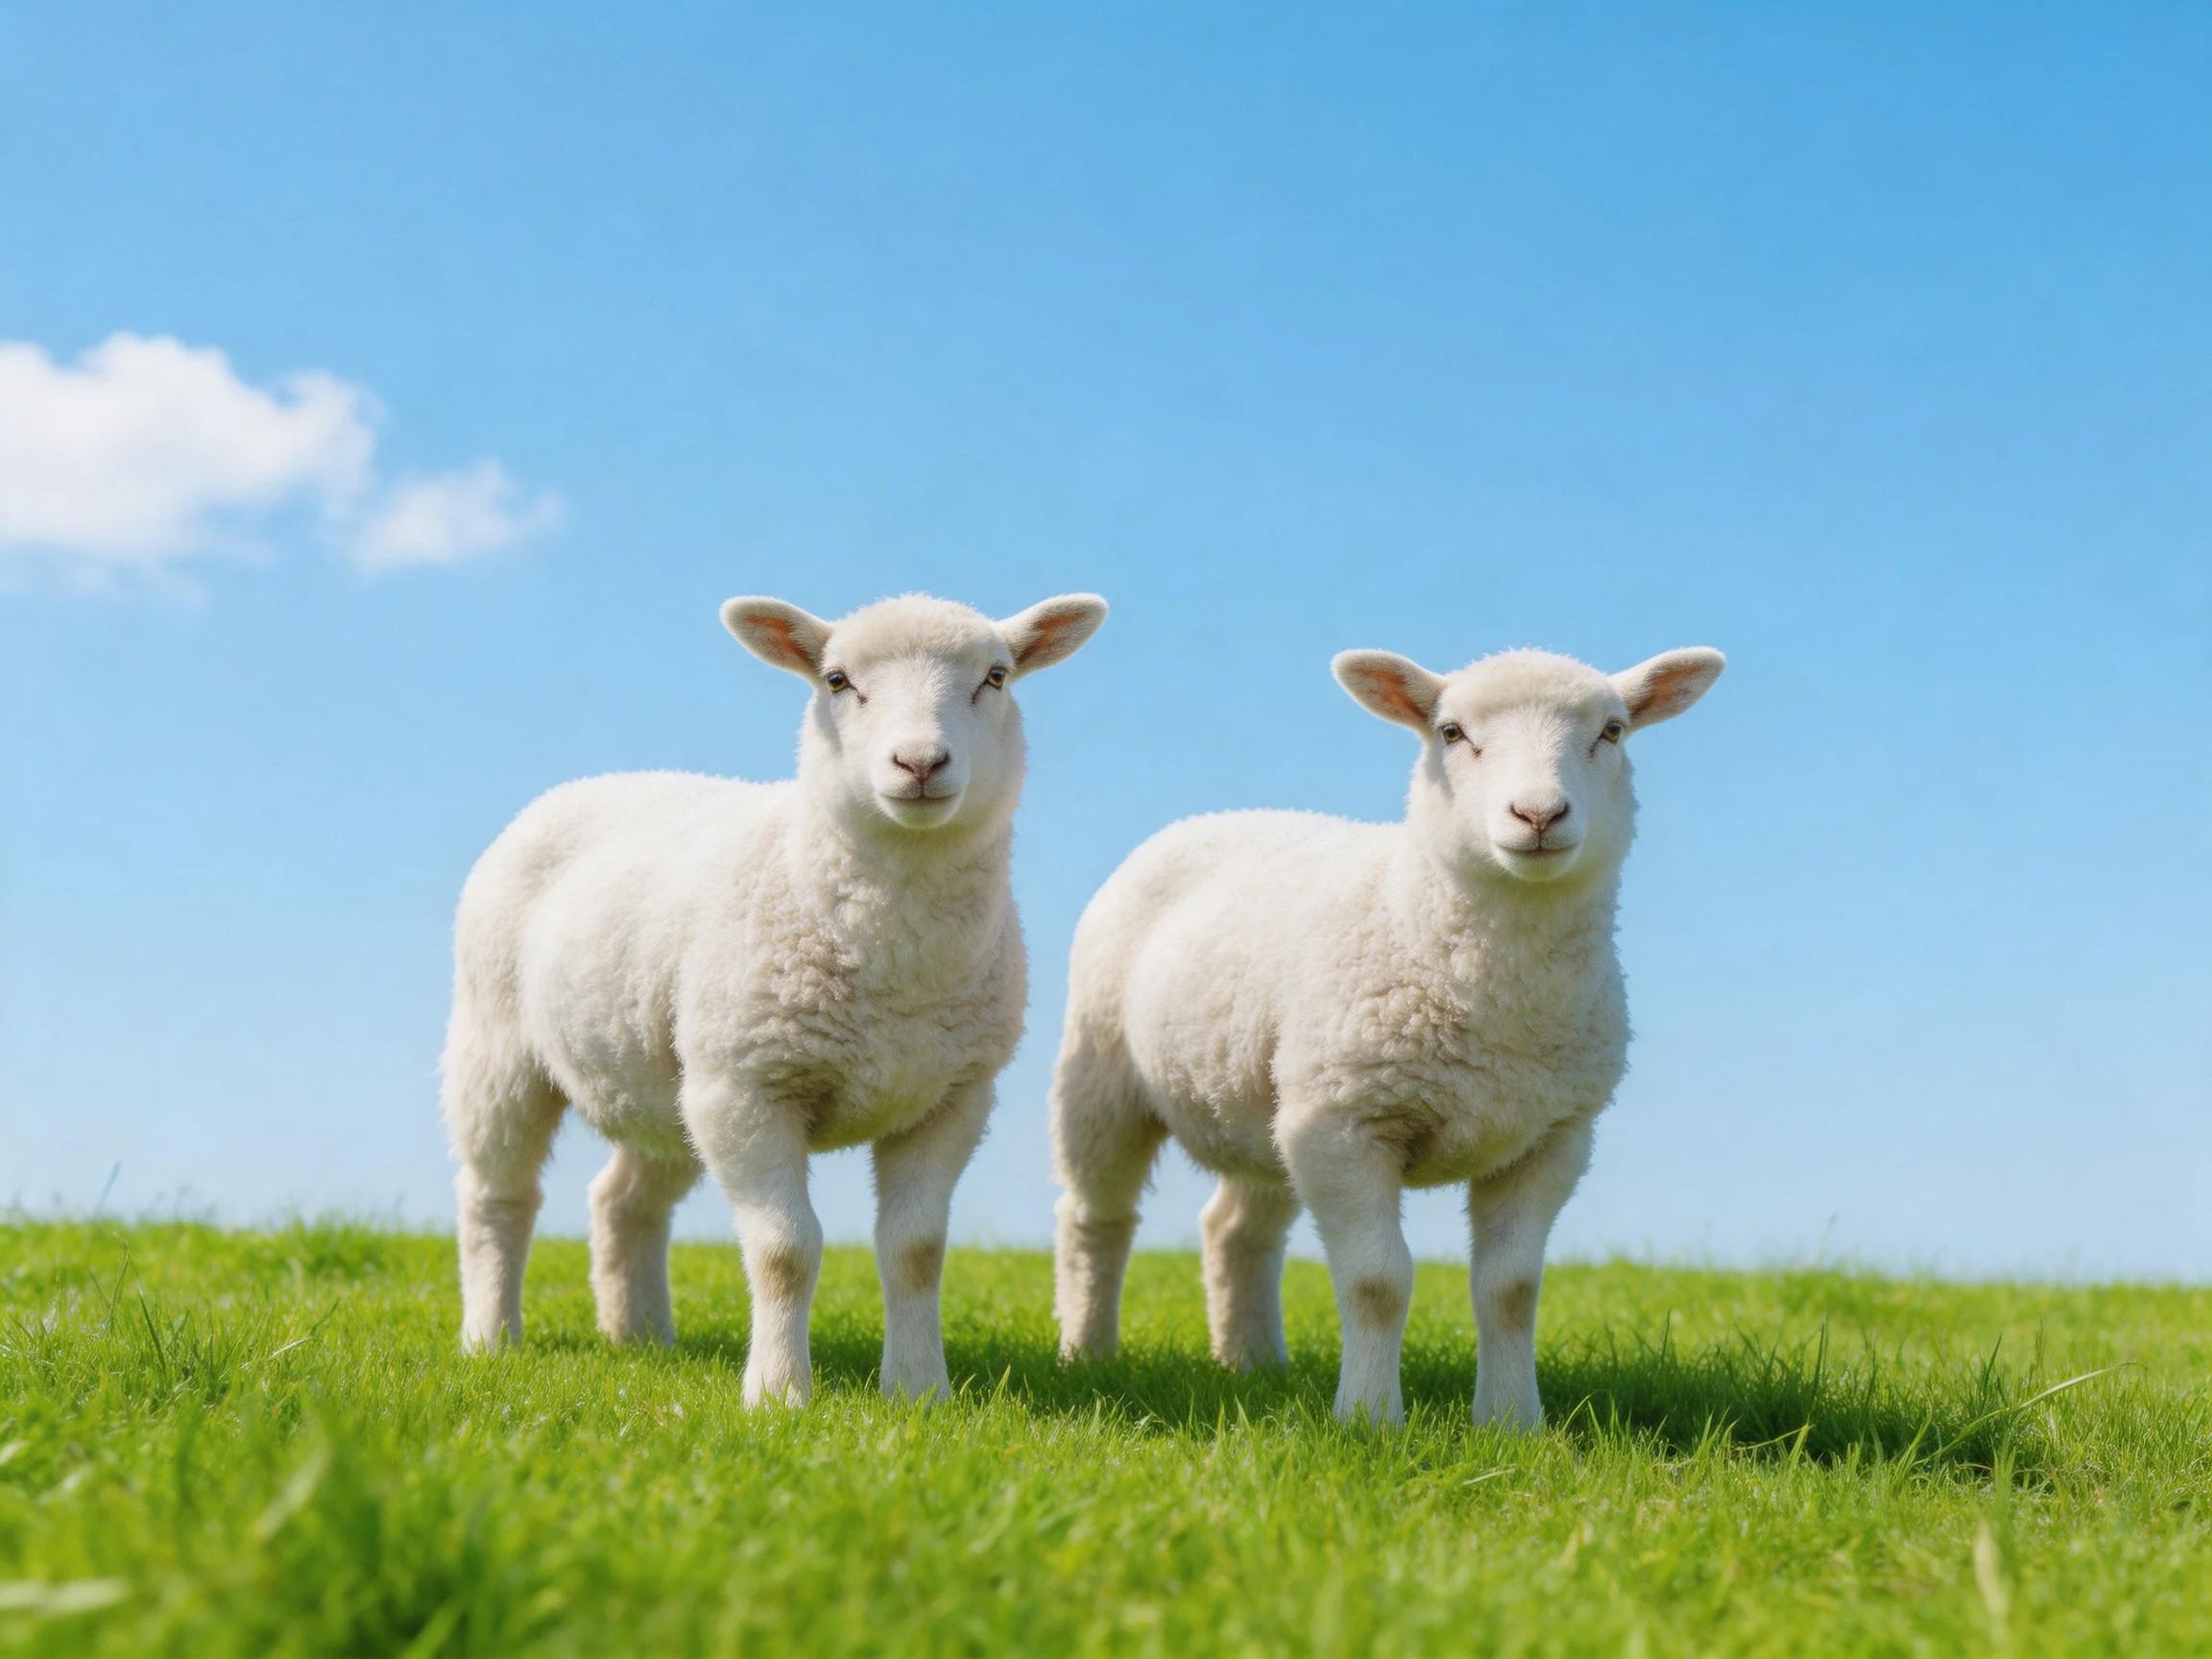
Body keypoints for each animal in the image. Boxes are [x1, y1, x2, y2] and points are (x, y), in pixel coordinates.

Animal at [441, 590, 1107, 1406]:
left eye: (996, 676)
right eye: (836, 680)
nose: (920, 763)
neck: (895, 965)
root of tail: (589, 783)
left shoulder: (950, 1098)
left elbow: (916, 1249)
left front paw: (919, 1390)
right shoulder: (751, 1088)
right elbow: (784, 1249)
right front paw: (779, 1393)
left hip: (672, 1085)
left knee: (624, 1201)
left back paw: (641, 1337)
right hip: (500, 1045)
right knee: (496, 1197)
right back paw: (490, 1338)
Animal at [1049, 641, 1723, 1427]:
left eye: (1613, 731)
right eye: (1452, 732)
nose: (1538, 813)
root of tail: (1216, 816)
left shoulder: (1553, 1138)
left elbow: (1512, 1288)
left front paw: (1511, 1424)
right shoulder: (1345, 1124)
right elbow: (1377, 1281)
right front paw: (1370, 1420)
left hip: (1269, 1103)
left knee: (1236, 1229)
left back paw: (1254, 1364)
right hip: (1107, 1081)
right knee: (1096, 1219)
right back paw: (1087, 1352)